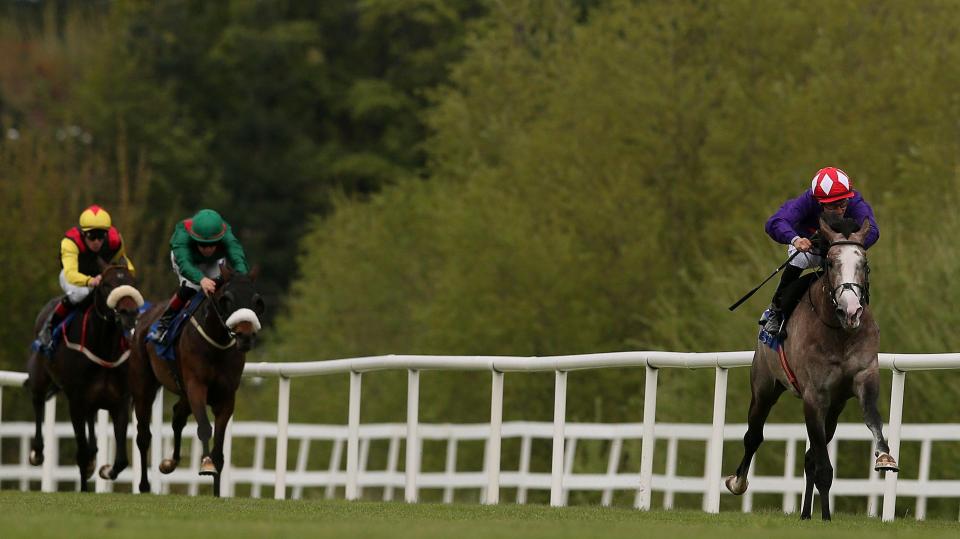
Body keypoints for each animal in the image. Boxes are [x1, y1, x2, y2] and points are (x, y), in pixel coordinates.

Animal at [24, 264, 143, 492]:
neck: (104, 348)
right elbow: (80, 451)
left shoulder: (120, 401)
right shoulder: (76, 401)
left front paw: (106, 470)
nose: (129, 312)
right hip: (39, 375)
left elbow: (122, 459)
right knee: (37, 401)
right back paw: (37, 451)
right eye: (106, 284)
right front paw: (84, 489)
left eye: (133, 282)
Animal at [129, 266, 262, 498]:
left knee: (177, 416)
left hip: (183, 392)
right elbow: (205, 428)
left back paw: (170, 462)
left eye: (256, 300)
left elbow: (219, 446)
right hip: (144, 386)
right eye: (227, 299)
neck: (216, 345)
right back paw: (144, 486)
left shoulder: (226, 396)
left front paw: (217, 491)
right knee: (143, 434)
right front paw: (206, 464)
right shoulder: (196, 386)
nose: (245, 336)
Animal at [728, 216, 900, 524]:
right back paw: (738, 482)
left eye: (864, 263)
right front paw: (827, 516)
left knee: (809, 455)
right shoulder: (814, 396)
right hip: (764, 386)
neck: (838, 331)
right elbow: (823, 465)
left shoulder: (862, 377)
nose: (852, 310)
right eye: (831, 262)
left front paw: (884, 457)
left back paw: (807, 513)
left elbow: (872, 418)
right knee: (754, 436)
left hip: (834, 407)